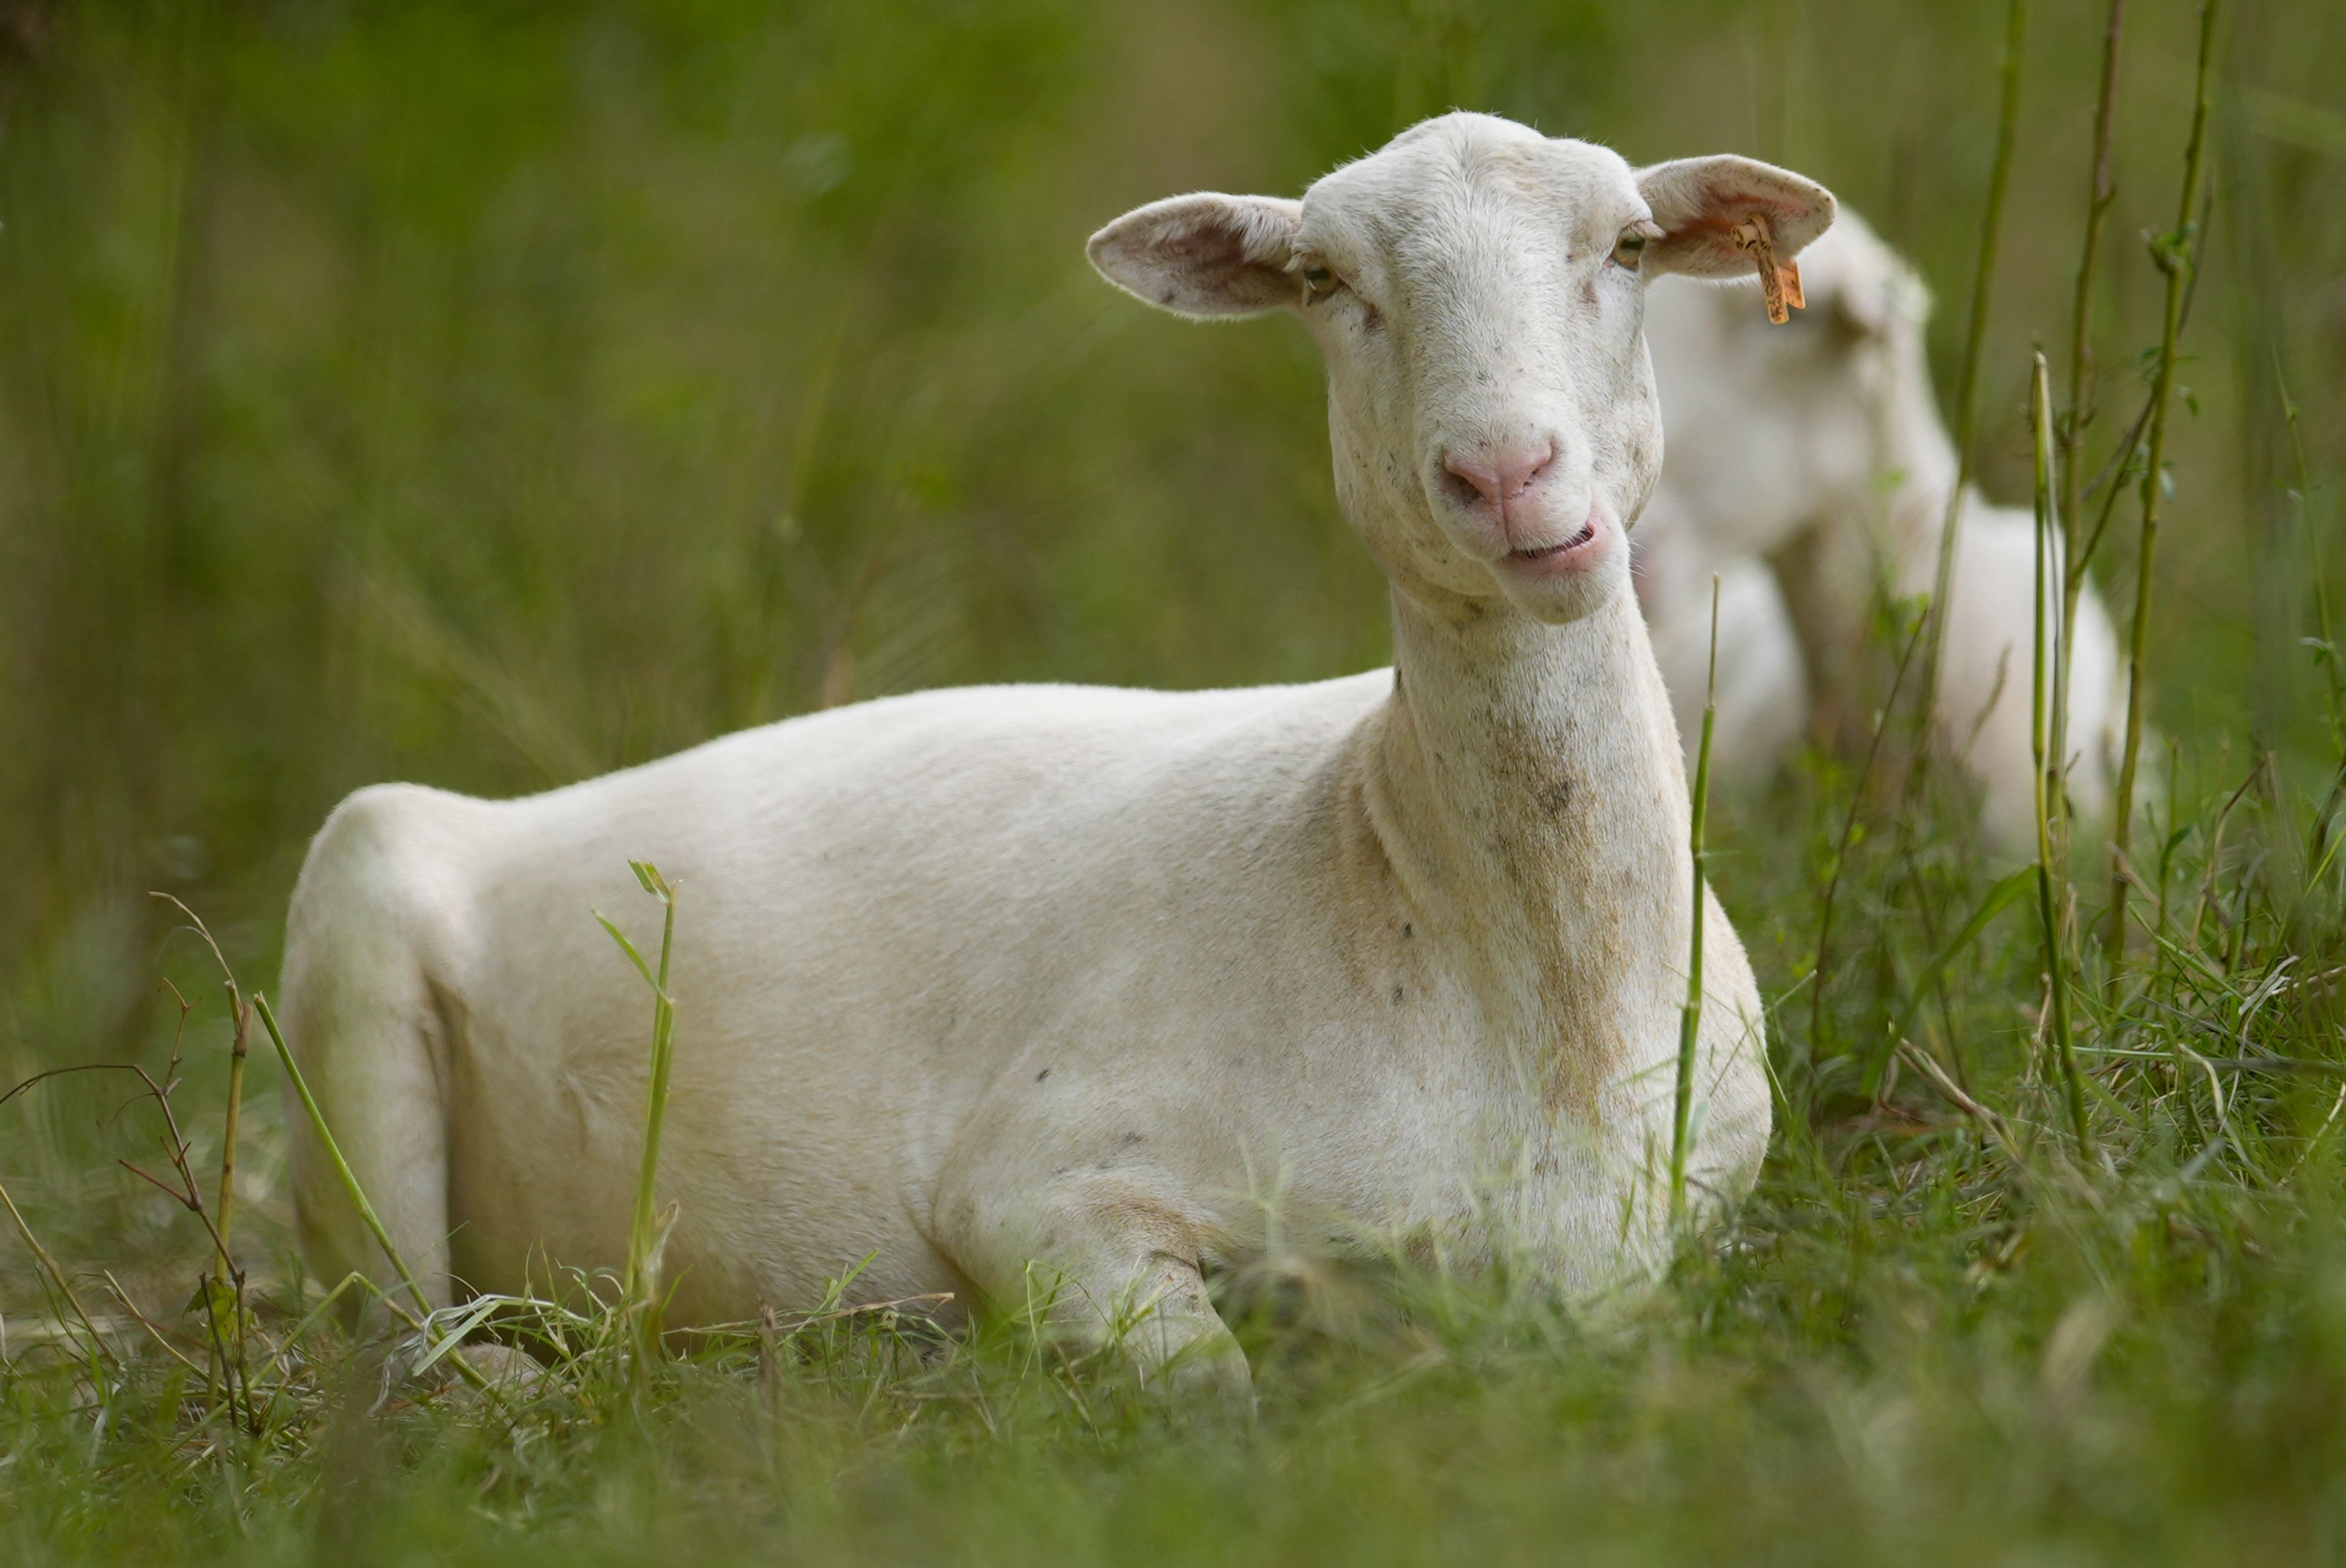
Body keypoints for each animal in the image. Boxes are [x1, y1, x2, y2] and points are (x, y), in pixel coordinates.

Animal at [279, 116, 1830, 1399]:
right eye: (1324, 279)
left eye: (1627, 245)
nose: (1508, 476)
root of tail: (515, 810)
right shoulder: (1041, 1185)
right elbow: (1214, 1389)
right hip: (354, 958)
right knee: (400, 1336)